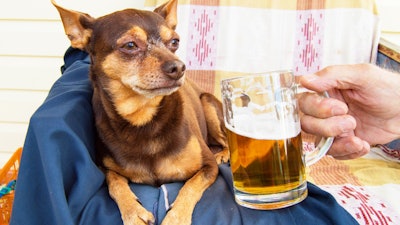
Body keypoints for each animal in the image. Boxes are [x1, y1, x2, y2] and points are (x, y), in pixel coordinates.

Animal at [51, 0, 230, 225]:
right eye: (130, 45)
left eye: (174, 42)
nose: (179, 67)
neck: (143, 118)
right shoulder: (105, 168)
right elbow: (115, 183)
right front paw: (133, 212)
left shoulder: (208, 167)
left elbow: (190, 187)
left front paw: (176, 217)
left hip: (207, 104)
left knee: (227, 140)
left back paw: (223, 154)